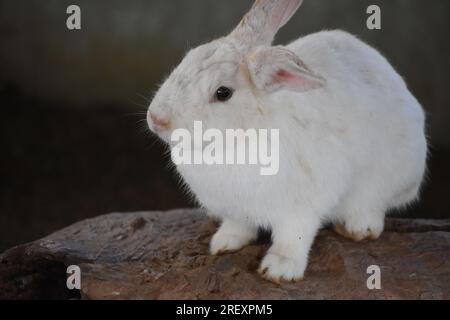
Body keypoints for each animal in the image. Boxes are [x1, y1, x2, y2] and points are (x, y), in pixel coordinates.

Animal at [147, 0, 426, 282]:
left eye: (222, 93)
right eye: (187, 57)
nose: (156, 119)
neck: (240, 136)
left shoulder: (302, 208)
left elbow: (293, 238)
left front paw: (278, 270)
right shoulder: (236, 210)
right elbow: (238, 227)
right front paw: (223, 244)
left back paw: (358, 229)